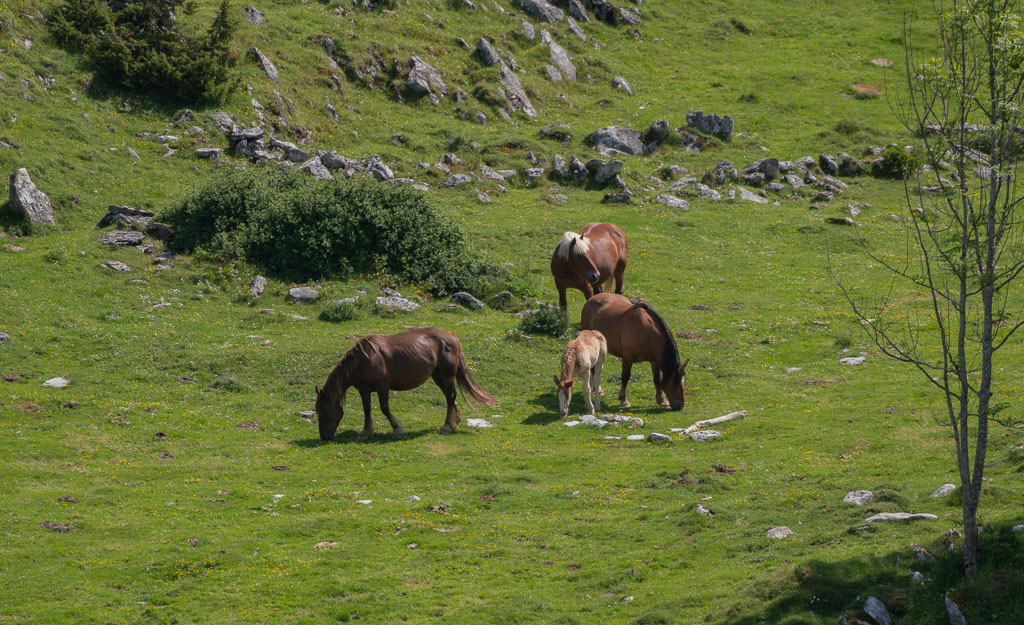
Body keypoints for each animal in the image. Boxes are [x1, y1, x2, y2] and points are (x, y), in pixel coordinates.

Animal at [314, 327, 496, 441]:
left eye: (322, 411)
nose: (325, 437)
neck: (363, 360)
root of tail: (451, 335)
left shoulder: (382, 386)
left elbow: (384, 408)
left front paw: (397, 430)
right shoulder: (364, 390)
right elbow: (367, 410)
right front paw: (365, 433)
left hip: (447, 374)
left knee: (451, 397)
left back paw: (447, 427)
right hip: (437, 376)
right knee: (449, 396)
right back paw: (455, 422)